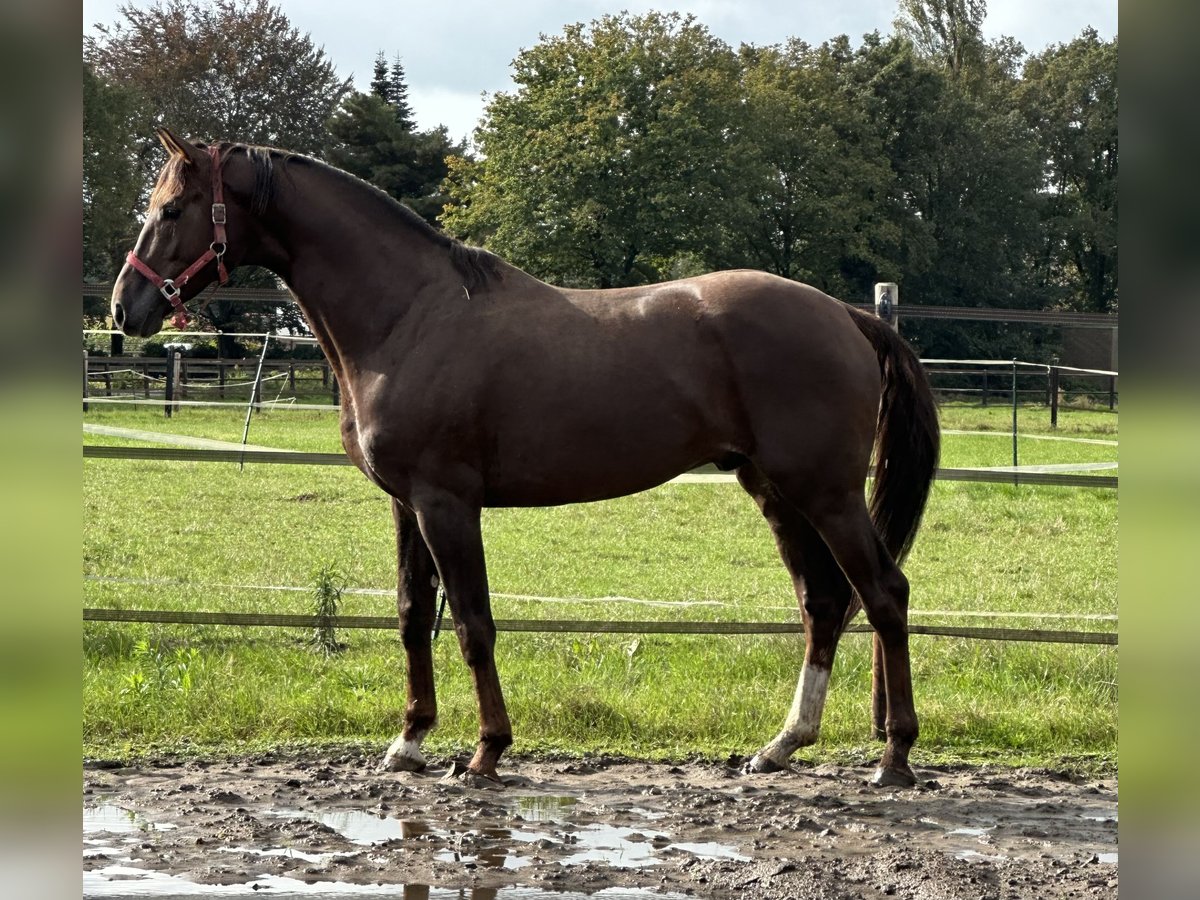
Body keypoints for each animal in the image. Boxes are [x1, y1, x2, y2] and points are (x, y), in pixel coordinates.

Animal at [111, 128, 940, 788]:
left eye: (173, 209)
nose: (125, 308)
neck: (409, 315)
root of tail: (848, 314)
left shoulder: (446, 502)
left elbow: (473, 623)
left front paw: (485, 752)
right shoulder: (406, 502)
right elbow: (413, 615)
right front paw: (408, 742)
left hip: (825, 491)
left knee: (884, 593)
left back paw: (894, 756)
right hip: (774, 489)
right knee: (823, 601)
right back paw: (781, 746)